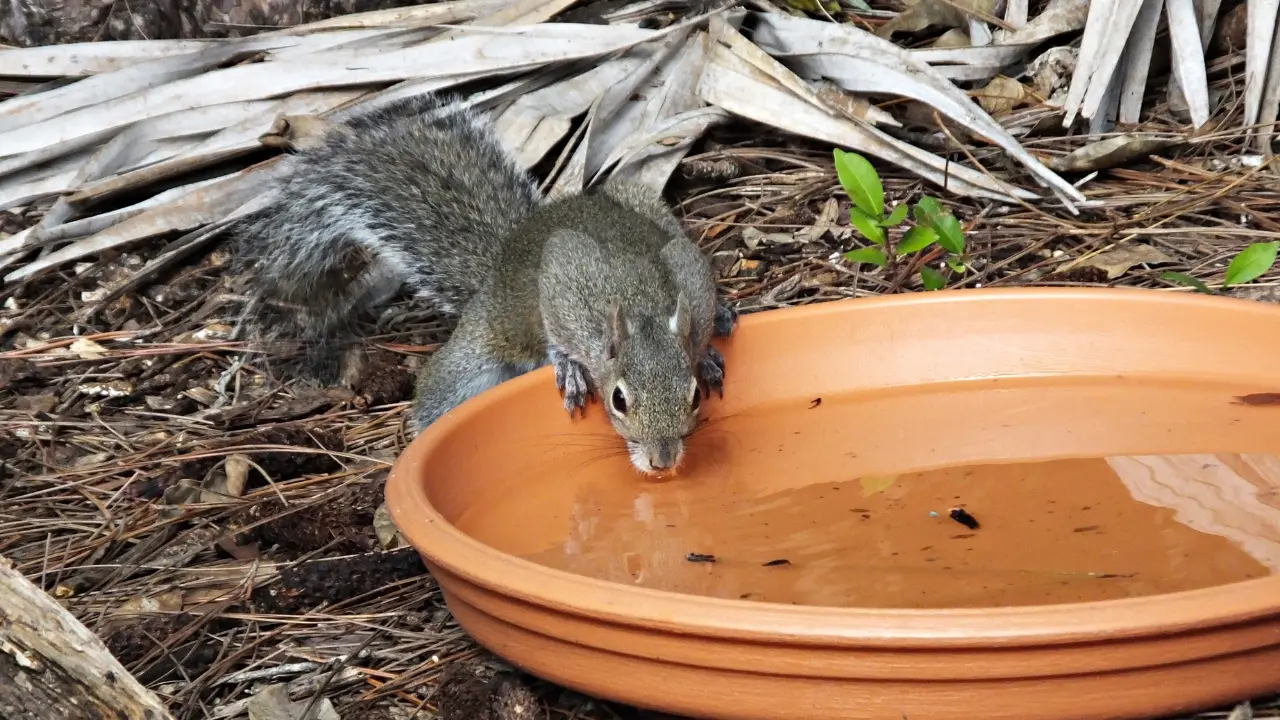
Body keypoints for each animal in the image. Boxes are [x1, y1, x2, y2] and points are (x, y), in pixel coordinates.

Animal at [230, 92, 737, 471]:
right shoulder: (565, 281)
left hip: (646, 205)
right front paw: (570, 368)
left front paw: (709, 352)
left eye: (693, 396)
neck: (644, 306)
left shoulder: (689, 276)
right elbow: (558, 334)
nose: (662, 460)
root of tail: (502, 257)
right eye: (619, 401)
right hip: (476, 352)